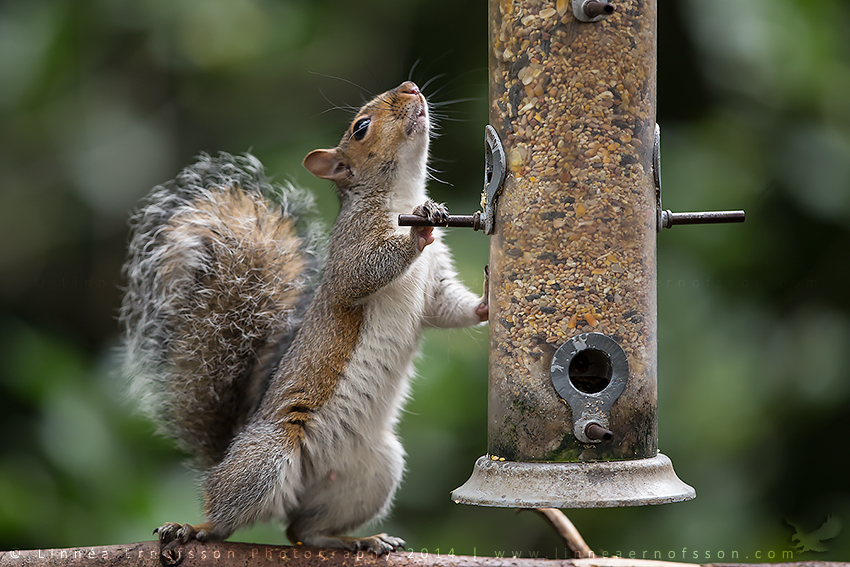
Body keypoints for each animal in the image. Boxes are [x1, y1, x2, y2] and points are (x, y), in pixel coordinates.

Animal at [121, 81, 486, 556]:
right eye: (361, 127)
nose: (410, 88)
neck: (400, 192)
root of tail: (227, 455)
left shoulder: (437, 283)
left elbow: (448, 308)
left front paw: (487, 305)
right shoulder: (352, 244)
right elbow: (360, 273)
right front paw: (420, 226)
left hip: (375, 470)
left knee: (303, 531)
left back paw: (360, 539)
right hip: (266, 458)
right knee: (230, 517)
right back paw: (196, 528)